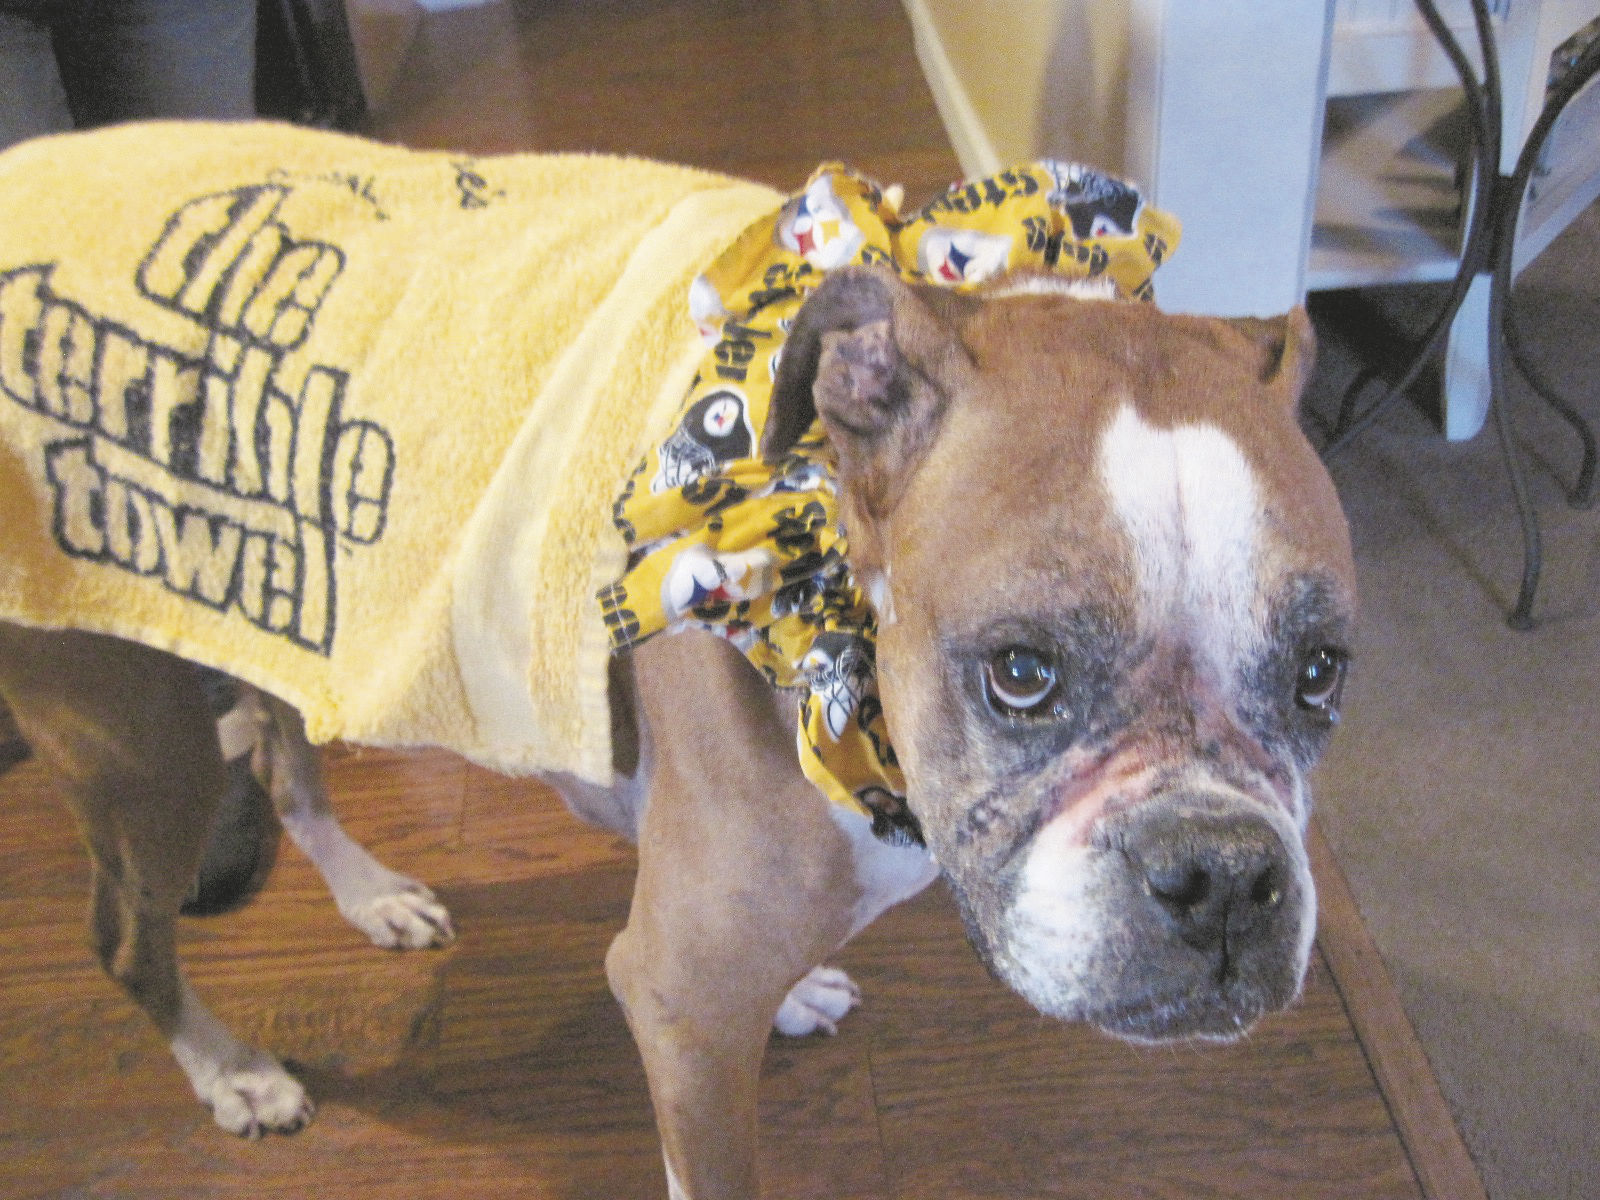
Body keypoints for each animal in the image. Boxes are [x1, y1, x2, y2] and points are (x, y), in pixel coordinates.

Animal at [0, 131, 1356, 1200]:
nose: (1223, 876)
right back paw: (233, 1073)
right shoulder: (680, 1009)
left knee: (286, 757)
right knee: (129, 933)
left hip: (267, 616)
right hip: (140, 744)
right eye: (1019, 672)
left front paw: (798, 992)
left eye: (1320, 675)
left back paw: (369, 895)